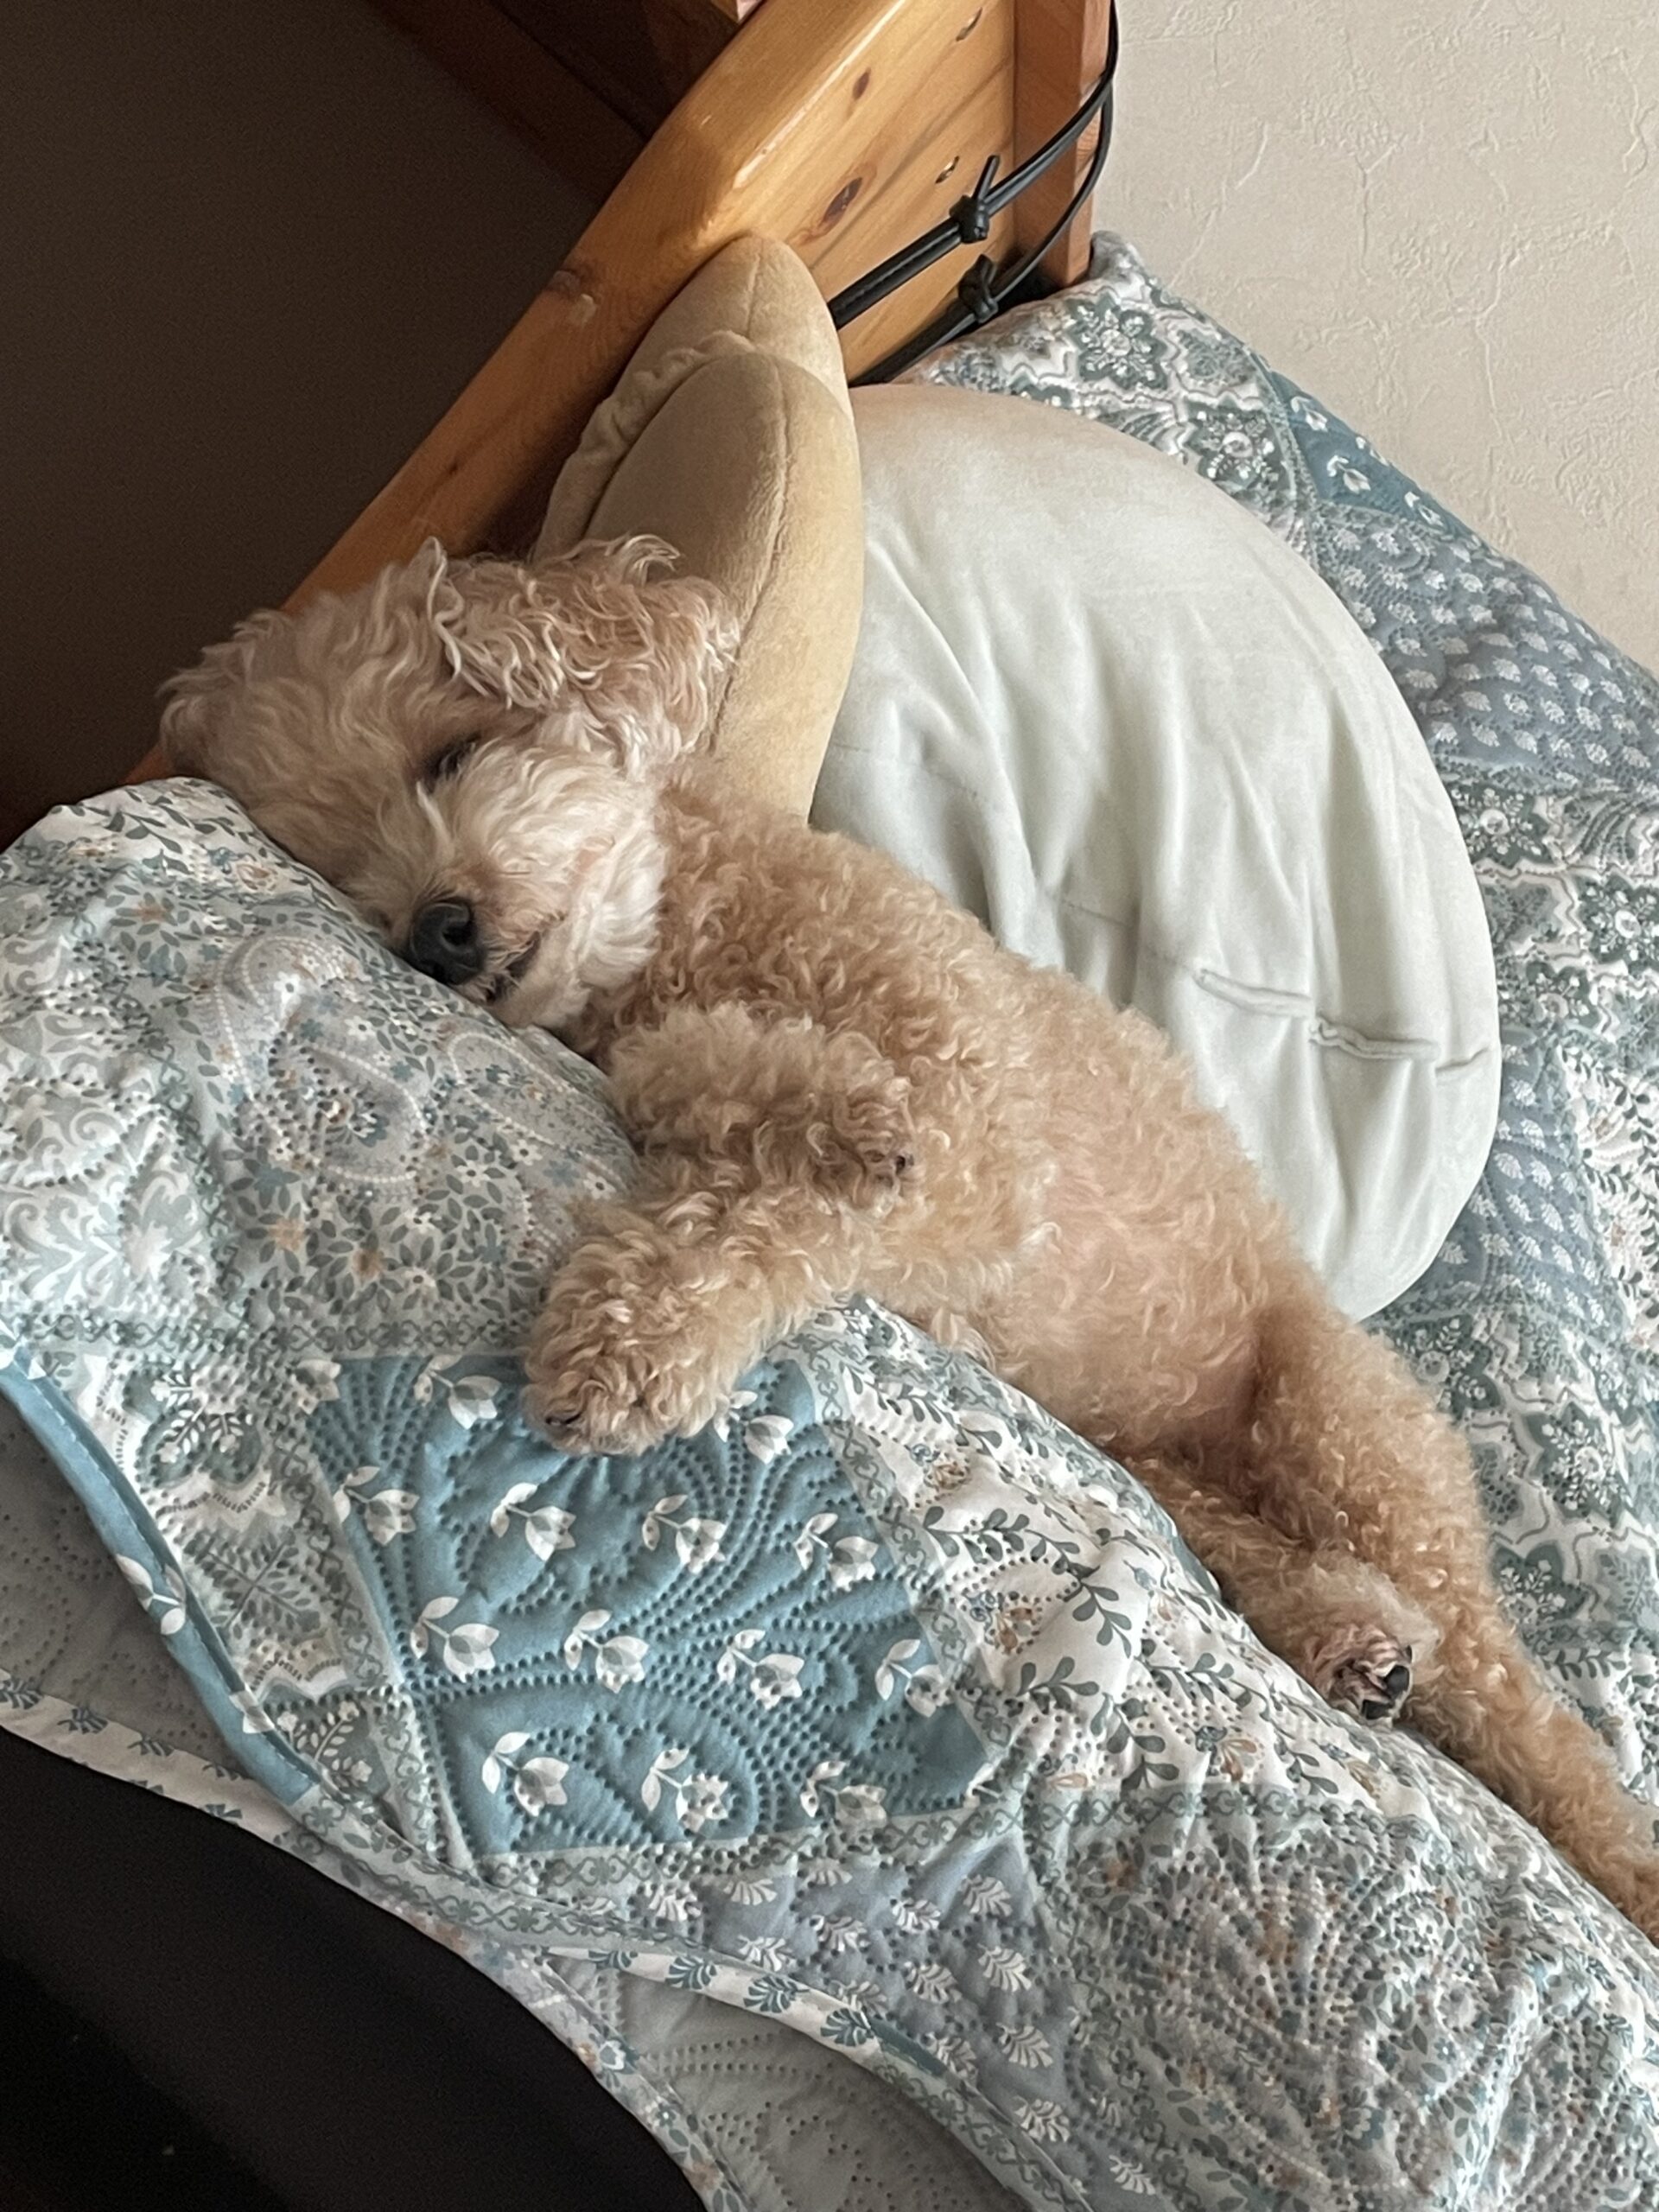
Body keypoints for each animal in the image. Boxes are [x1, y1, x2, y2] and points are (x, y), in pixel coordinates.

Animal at [162, 534, 1659, 1941]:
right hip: (1171, 1474)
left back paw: (1610, 1848)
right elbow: (707, 1103)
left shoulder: (985, 1156)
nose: (436, 932)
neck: (692, 936)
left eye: (457, 750)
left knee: (1522, 1708)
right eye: (341, 864)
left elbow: (799, 1192)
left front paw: (649, 1327)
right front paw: (780, 1144)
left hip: (1342, 1435)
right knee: (1280, 1565)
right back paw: (1354, 1640)